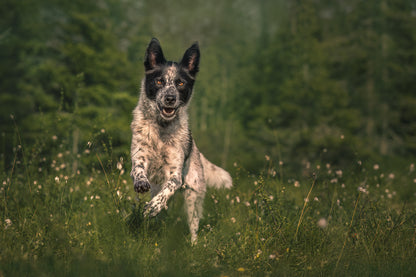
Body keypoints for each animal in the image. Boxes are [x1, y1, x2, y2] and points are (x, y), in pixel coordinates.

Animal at [130, 38, 232, 242]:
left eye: (181, 83)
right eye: (159, 81)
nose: (170, 98)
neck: (162, 128)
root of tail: (197, 152)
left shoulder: (175, 173)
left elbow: (169, 187)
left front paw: (154, 206)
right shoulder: (139, 156)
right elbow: (138, 170)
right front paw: (141, 183)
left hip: (193, 199)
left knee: (193, 227)